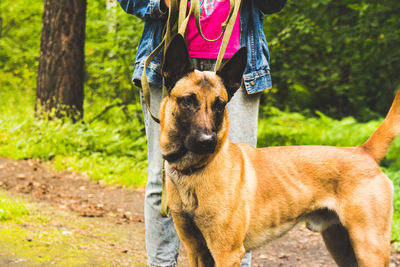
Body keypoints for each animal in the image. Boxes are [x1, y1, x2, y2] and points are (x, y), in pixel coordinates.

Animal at [159, 34, 396, 266]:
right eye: (188, 101)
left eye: (220, 105)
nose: (208, 141)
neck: (192, 172)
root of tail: (363, 151)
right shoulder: (196, 250)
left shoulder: (227, 252)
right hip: (341, 246)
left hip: (369, 246)